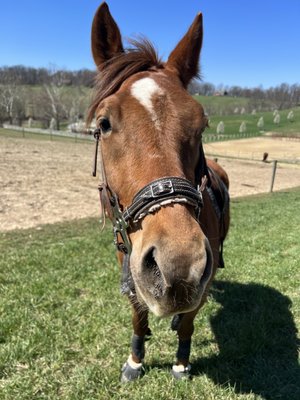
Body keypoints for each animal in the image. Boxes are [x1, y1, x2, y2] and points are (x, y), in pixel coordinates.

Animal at [87, 2, 230, 382]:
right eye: (104, 123)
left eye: (202, 125)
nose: (178, 266)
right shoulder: (131, 270)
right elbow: (138, 318)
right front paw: (136, 360)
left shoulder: (205, 276)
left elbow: (189, 323)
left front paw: (180, 362)